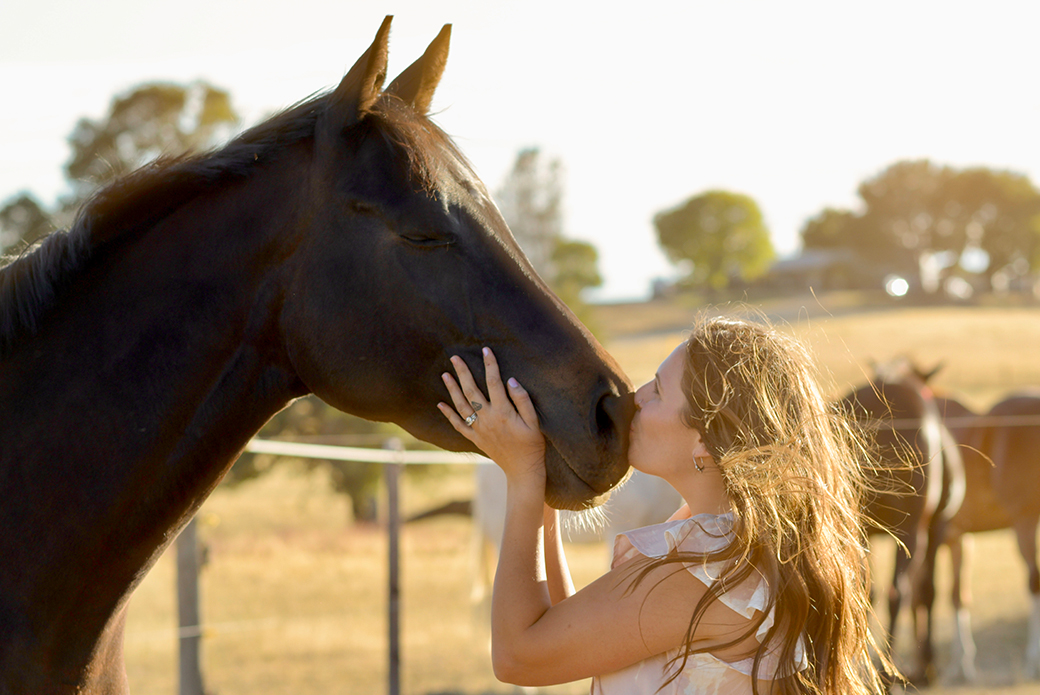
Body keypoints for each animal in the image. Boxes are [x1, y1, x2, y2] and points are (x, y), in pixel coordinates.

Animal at [840, 362, 960, 686]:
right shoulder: (935, 528)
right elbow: (927, 592)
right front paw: (927, 665)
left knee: (864, 591)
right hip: (910, 532)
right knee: (899, 592)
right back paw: (886, 672)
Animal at [935, 393, 1040, 682]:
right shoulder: (958, 539)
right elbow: (958, 596)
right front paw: (962, 665)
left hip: (1025, 523)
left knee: (1034, 583)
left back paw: (1032, 661)